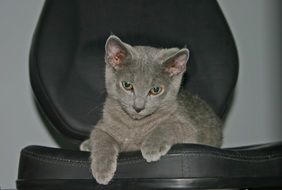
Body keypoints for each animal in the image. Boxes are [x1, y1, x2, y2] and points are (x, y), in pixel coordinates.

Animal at [80, 35, 224, 185]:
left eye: (156, 90)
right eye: (127, 85)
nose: (138, 107)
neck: (133, 126)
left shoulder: (189, 128)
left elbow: (169, 126)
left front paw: (152, 146)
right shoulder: (102, 125)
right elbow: (101, 138)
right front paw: (102, 169)